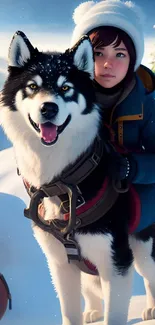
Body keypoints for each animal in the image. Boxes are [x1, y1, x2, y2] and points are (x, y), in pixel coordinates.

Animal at [0, 31, 155, 324]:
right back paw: (93, 310)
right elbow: (69, 311)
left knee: (150, 275)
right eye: (32, 86)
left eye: (65, 88)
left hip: (142, 251)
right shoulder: (60, 263)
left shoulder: (116, 261)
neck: (60, 181)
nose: (48, 108)